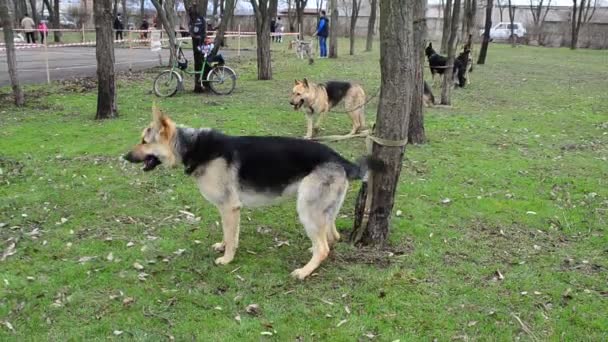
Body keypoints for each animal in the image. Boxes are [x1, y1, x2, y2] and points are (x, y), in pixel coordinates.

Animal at [123, 105, 382, 280]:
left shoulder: (230, 207)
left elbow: (231, 237)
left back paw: (304, 271)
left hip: (306, 209)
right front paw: (223, 246)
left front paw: (227, 259)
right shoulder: (226, 209)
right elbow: (228, 234)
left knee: (324, 247)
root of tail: (340, 159)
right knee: (331, 238)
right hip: (322, 211)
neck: (192, 146)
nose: (124, 157)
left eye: (144, 141)